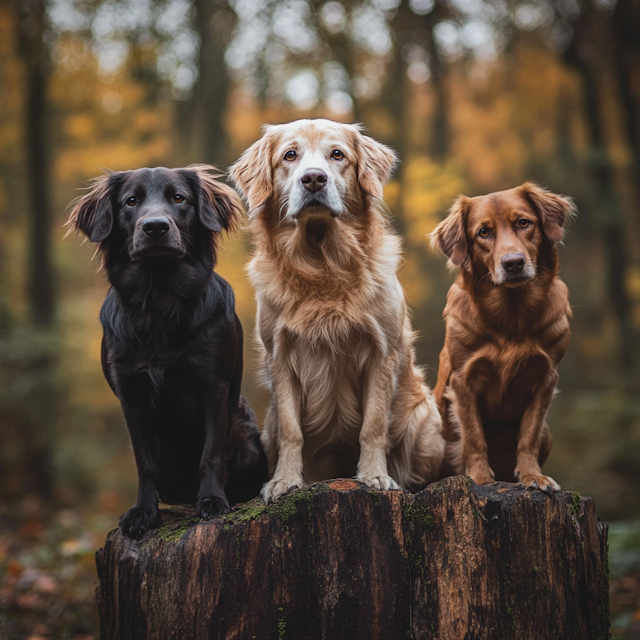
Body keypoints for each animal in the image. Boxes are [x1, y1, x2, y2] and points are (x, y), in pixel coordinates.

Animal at [69, 164, 268, 536]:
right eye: (130, 201)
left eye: (179, 198)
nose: (155, 227)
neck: (160, 298)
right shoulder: (131, 394)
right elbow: (143, 462)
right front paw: (143, 512)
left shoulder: (214, 387)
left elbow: (210, 452)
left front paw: (213, 501)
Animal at [230, 117, 444, 502]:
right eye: (290, 155)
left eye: (338, 155)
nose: (314, 178)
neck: (322, 263)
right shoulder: (280, 357)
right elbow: (292, 430)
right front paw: (284, 481)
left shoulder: (381, 353)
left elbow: (373, 425)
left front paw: (374, 476)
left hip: (425, 421)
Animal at [430, 182, 576, 492]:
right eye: (483, 232)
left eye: (524, 223)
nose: (513, 263)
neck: (512, 316)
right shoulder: (462, 380)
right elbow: (474, 436)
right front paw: (480, 478)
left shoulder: (546, 377)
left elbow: (529, 434)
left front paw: (533, 476)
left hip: (548, 434)